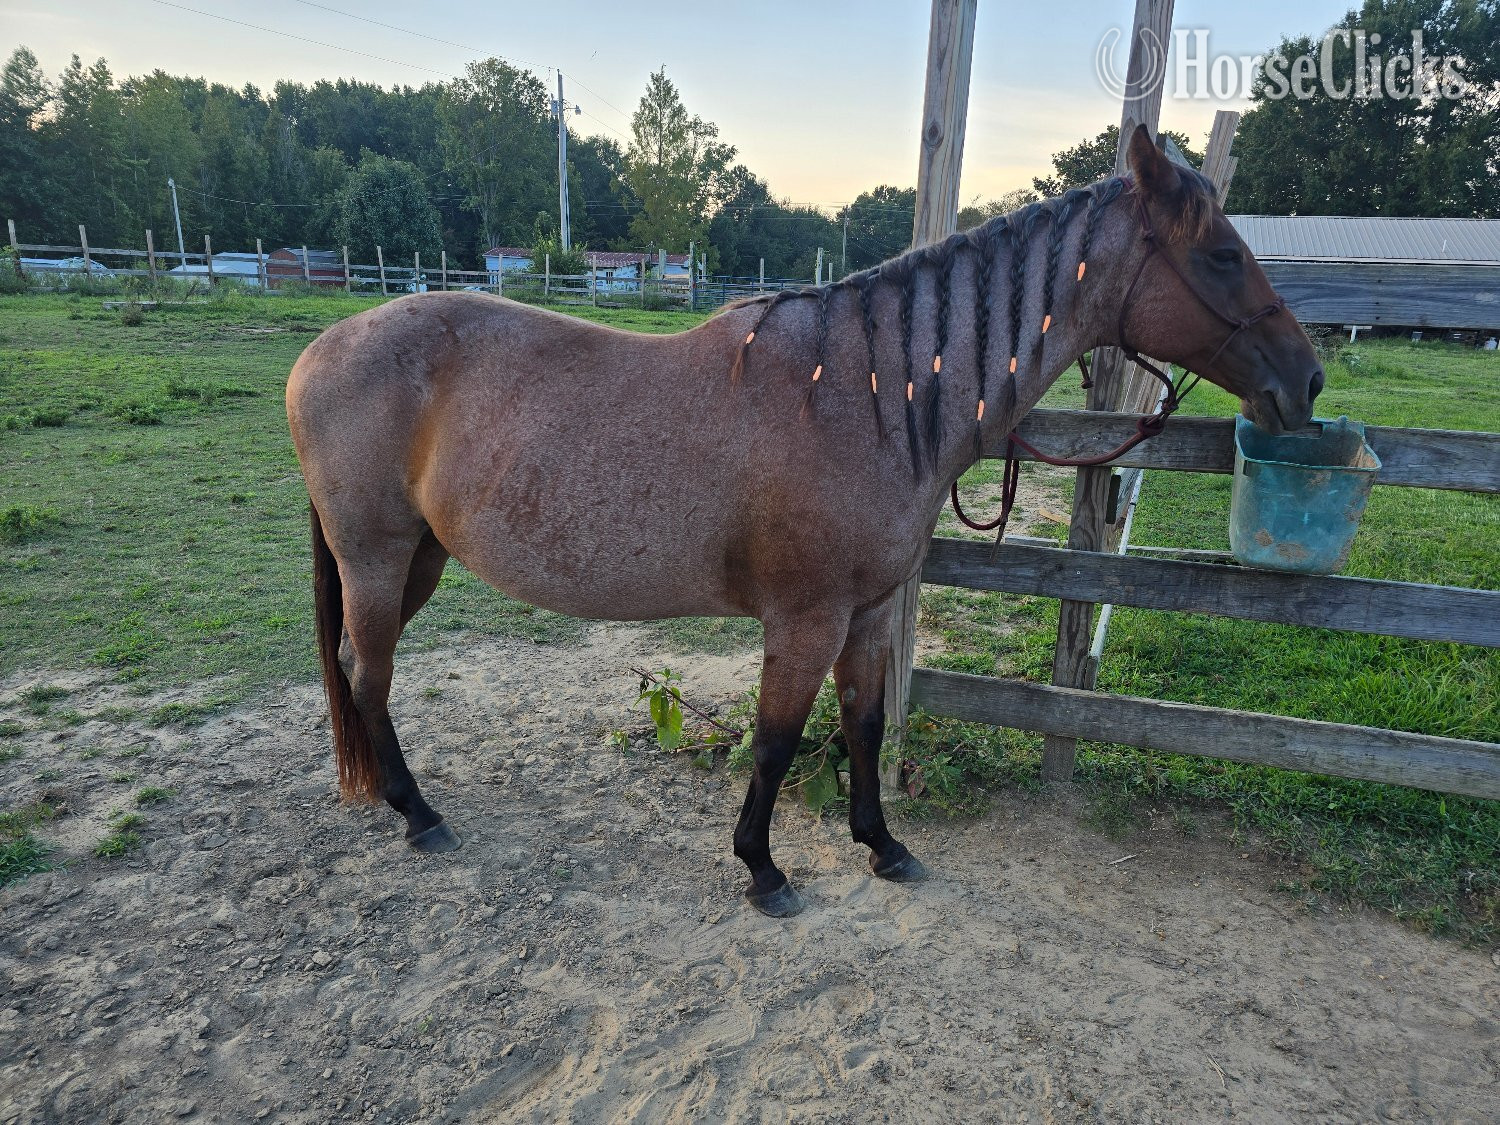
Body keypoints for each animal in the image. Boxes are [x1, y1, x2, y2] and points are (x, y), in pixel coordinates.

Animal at [286, 125, 1323, 917]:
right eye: (1224, 255)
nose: (1306, 380)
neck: (863, 397)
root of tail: (319, 351)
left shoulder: (865, 613)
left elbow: (861, 724)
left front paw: (883, 844)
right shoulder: (807, 617)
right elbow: (778, 740)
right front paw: (763, 869)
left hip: (420, 559)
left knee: (358, 672)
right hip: (377, 561)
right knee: (366, 674)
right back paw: (419, 814)